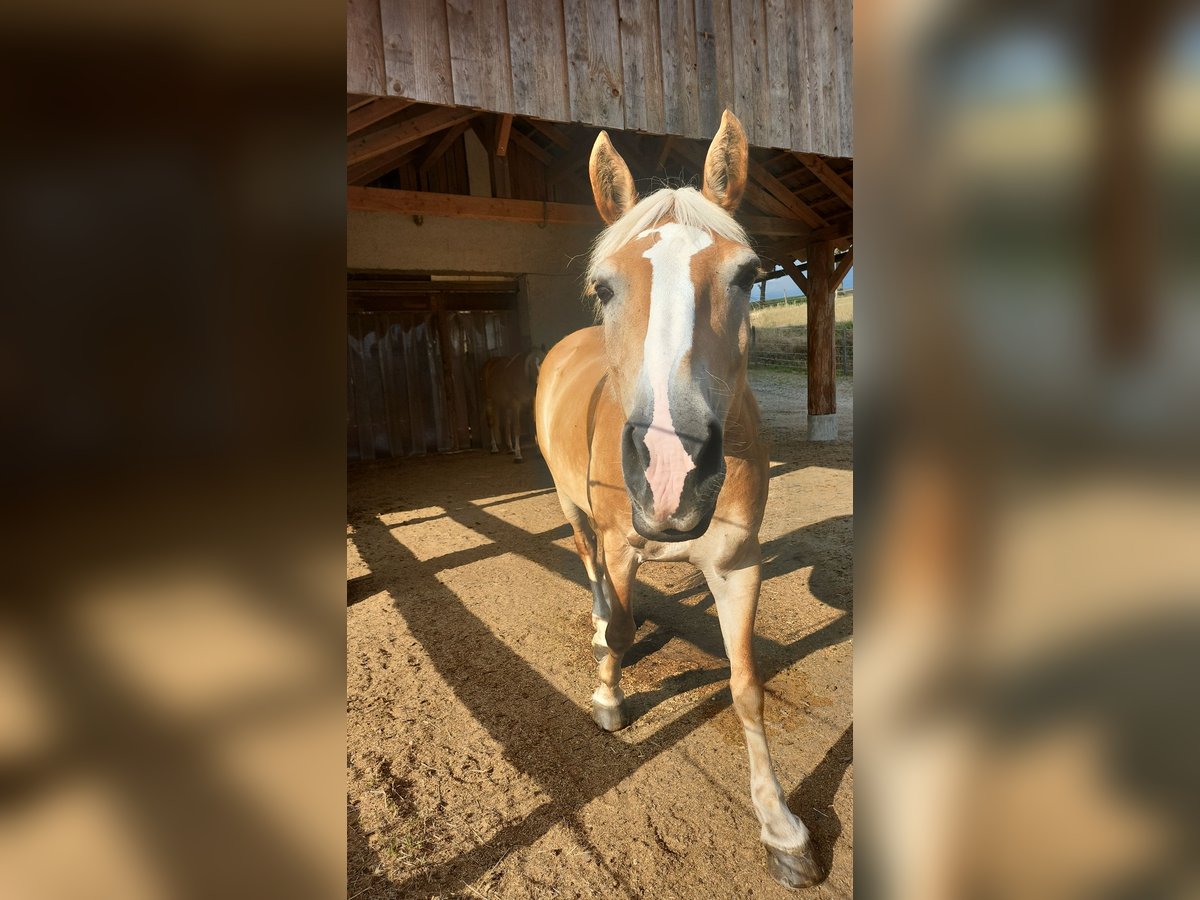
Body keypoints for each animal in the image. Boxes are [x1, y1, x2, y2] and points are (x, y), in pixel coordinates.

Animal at [537, 111, 825, 888]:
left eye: (748, 276)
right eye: (604, 287)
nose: (671, 474)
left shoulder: (737, 566)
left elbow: (747, 684)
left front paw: (782, 827)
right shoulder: (621, 542)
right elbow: (621, 625)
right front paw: (609, 696)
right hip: (576, 512)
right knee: (592, 573)